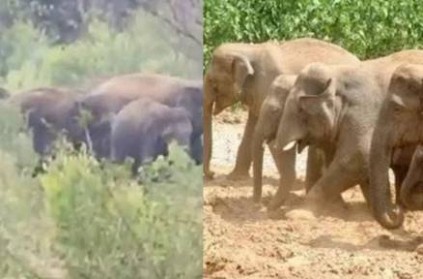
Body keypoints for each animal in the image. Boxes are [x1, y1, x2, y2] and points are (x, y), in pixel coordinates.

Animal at [205, 37, 362, 180]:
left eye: (212, 81)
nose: (212, 175)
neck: (249, 49)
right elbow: (252, 128)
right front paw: (235, 178)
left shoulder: (267, 84)